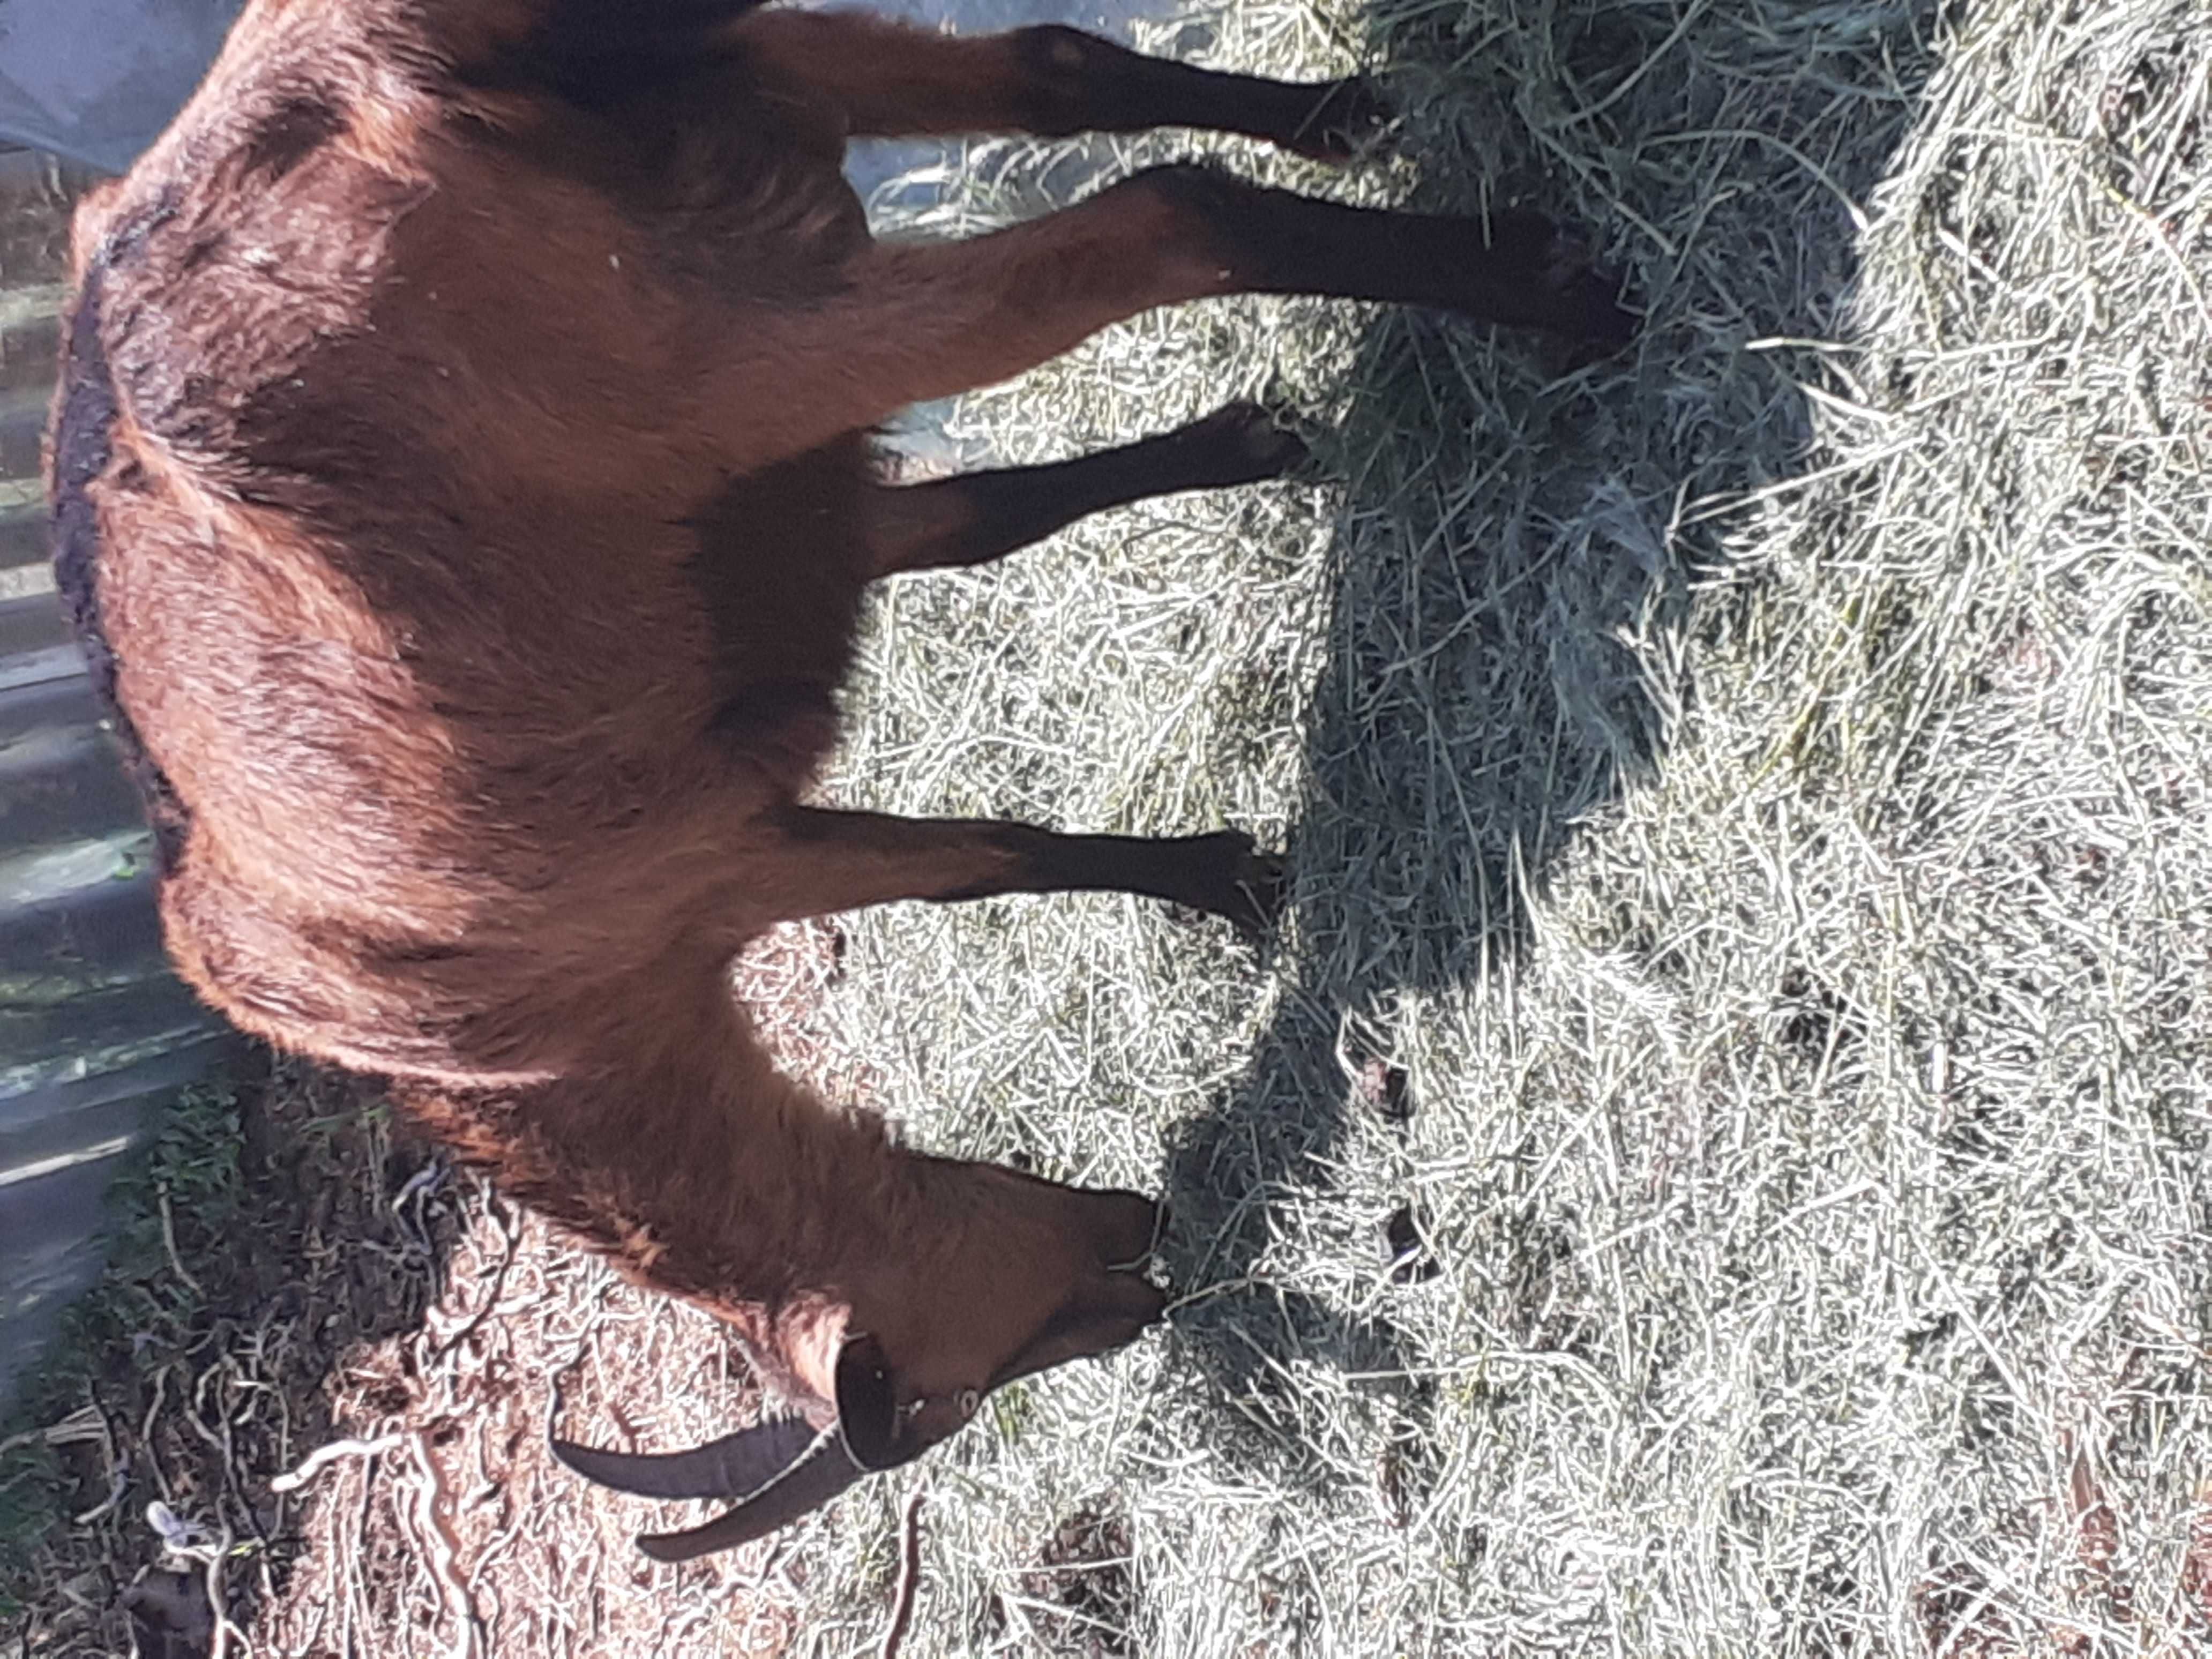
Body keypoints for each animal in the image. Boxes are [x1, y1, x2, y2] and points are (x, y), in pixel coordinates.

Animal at [47, 0, 1628, 1557]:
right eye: (981, 1380)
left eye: (938, 1401)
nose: (1143, 1266)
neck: (466, 1037)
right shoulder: (790, 528)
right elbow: (988, 518)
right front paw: (1243, 441)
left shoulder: (704, 863)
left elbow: (978, 856)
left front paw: (1225, 876)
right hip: (750, 99)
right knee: (1055, 73)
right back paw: (1351, 124)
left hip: (715, 347)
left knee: (1157, 220)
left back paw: (1552, 288)